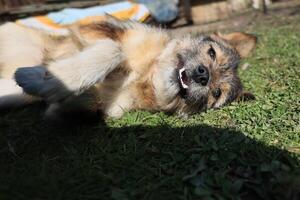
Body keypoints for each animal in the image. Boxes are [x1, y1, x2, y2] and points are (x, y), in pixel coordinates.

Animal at [0, 16, 256, 119]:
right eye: (212, 53)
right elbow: (114, 50)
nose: (204, 75)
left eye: (216, 93)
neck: (146, 75)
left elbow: (88, 102)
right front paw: (43, 76)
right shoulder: (93, 30)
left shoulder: (108, 107)